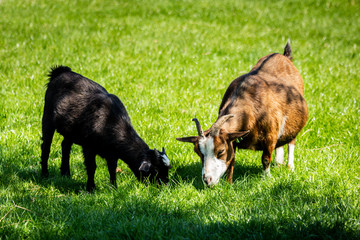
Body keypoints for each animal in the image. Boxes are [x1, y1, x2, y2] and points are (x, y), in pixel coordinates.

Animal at [40, 65, 172, 191]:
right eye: (155, 170)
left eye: (167, 169)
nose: (165, 186)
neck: (110, 121)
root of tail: (61, 71)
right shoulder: (89, 147)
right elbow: (92, 167)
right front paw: (91, 188)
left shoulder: (112, 153)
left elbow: (112, 169)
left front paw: (114, 188)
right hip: (47, 118)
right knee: (46, 147)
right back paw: (45, 174)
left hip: (70, 130)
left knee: (65, 146)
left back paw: (66, 173)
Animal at [176, 41, 306, 187]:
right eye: (198, 152)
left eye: (220, 151)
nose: (207, 180)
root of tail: (284, 56)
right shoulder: (233, 139)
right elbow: (232, 159)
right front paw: (229, 183)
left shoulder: (270, 136)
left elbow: (265, 158)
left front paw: (267, 179)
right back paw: (279, 163)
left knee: (291, 140)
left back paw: (290, 166)